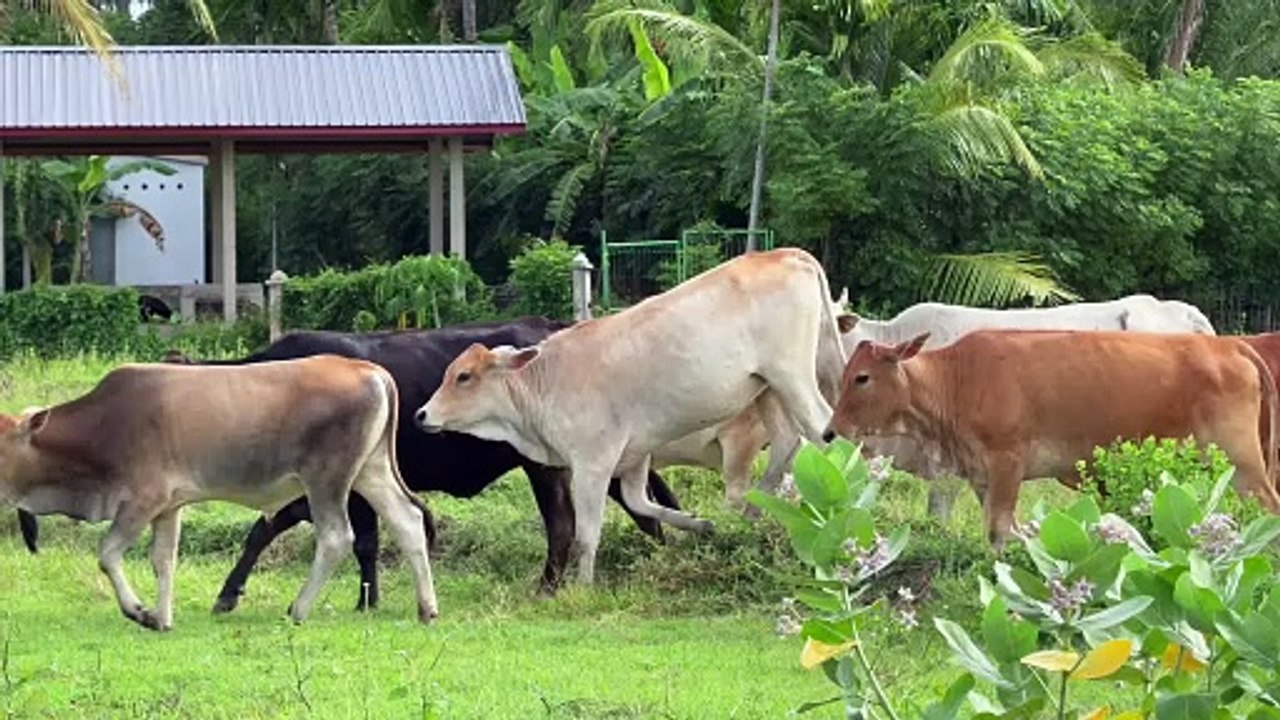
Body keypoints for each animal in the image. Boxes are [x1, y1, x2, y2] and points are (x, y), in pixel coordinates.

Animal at [0, 356, 438, 630]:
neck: (105, 424)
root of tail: (368, 369)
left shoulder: (142, 500)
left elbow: (107, 555)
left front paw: (139, 611)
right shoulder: (169, 506)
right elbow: (163, 560)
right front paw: (162, 618)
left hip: (326, 480)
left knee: (335, 538)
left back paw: (297, 609)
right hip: (371, 471)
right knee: (408, 521)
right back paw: (427, 608)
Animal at [416, 248, 847, 584]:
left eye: (464, 376)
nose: (421, 414)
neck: (545, 380)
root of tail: (785, 253)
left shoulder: (592, 463)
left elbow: (587, 533)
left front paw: (582, 587)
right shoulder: (637, 455)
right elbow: (643, 504)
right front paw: (701, 525)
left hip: (791, 375)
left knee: (824, 432)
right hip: (769, 388)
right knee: (788, 444)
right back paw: (751, 515)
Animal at [823, 330, 1280, 547]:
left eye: (862, 378)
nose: (830, 432)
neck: (958, 379)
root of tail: (1232, 347)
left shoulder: (1008, 461)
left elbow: (1000, 529)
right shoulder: (981, 474)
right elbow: (1009, 529)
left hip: (1243, 465)